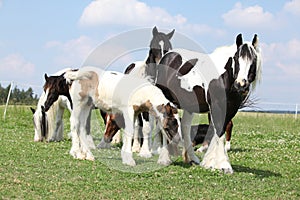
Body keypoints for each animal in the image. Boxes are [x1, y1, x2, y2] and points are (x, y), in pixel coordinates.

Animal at [42, 66, 180, 166]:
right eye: (169, 125)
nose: (178, 140)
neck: (142, 91)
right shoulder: (128, 110)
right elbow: (129, 131)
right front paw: (129, 160)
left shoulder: (136, 112)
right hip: (77, 103)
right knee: (74, 123)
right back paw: (77, 153)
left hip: (86, 105)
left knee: (82, 126)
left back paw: (89, 155)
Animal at [155, 33, 262, 173]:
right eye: (236, 59)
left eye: (254, 60)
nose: (241, 85)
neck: (224, 77)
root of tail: (167, 56)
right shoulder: (216, 106)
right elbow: (218, 131)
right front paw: (224, 165)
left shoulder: (231, 108)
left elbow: (219, 130)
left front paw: (209, 162)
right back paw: (164, 158)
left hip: (189, 106)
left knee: (185, 127)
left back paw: (192, 158)